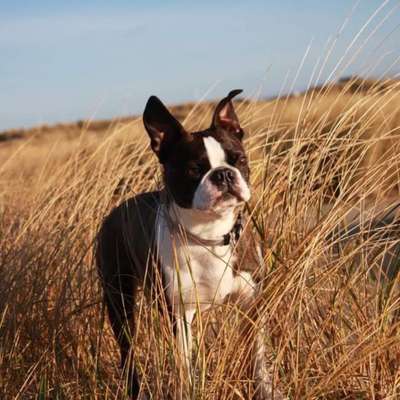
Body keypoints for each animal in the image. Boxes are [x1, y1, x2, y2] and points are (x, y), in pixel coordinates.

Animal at [96, 91, 282, 400]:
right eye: (194, 169)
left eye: (240, 159)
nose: (223, 174)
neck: (209, 235)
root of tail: (115, 211)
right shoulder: (181, 316)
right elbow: (185, 367)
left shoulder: (251, 304)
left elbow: (258, 357)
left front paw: (266, 389)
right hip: (118, 298)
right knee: (127, 351)